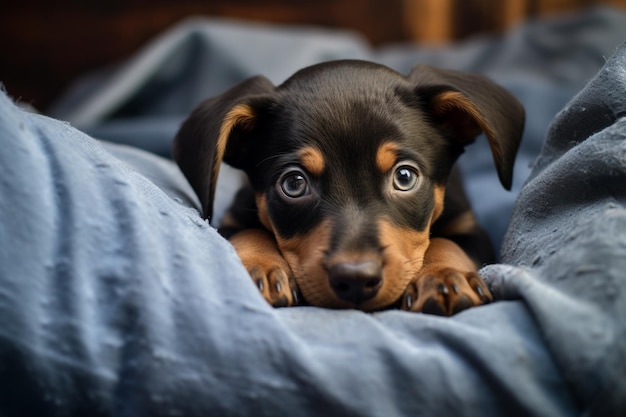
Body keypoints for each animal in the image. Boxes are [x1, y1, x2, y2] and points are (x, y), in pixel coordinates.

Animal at [171, 59, 520, 316]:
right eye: (294, 184)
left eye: (405, 177)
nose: (355, 280)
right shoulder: (232, 217)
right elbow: (249, 231)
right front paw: (259, 267)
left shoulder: (472, 229)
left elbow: (447, 243)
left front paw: (444, 277)